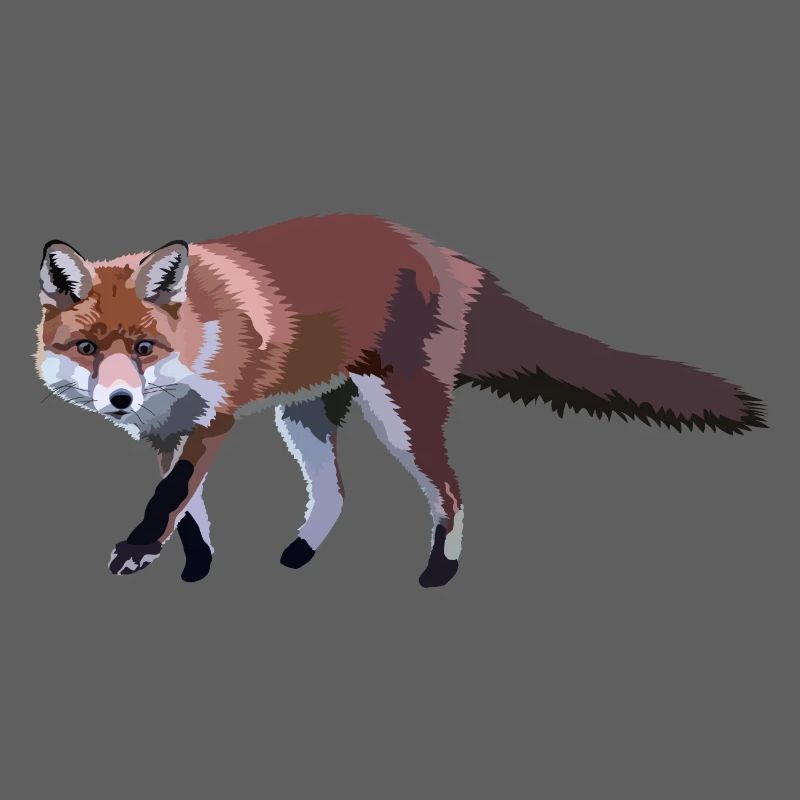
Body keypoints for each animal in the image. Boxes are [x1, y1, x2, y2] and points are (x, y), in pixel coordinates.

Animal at [35, 214, 767, 587]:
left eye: (144, 346)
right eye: (88, 348)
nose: (120, 399)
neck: (195, 336)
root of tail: (441, 249)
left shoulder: (213, 421)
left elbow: (172, 496)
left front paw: (140, 548)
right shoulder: (165, 434)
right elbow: (188, 510)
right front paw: (194, 564)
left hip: (399, 416)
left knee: (451, 491)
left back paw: (440, 572)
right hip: (303, 418)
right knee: (336, 493)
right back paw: (301, 555)